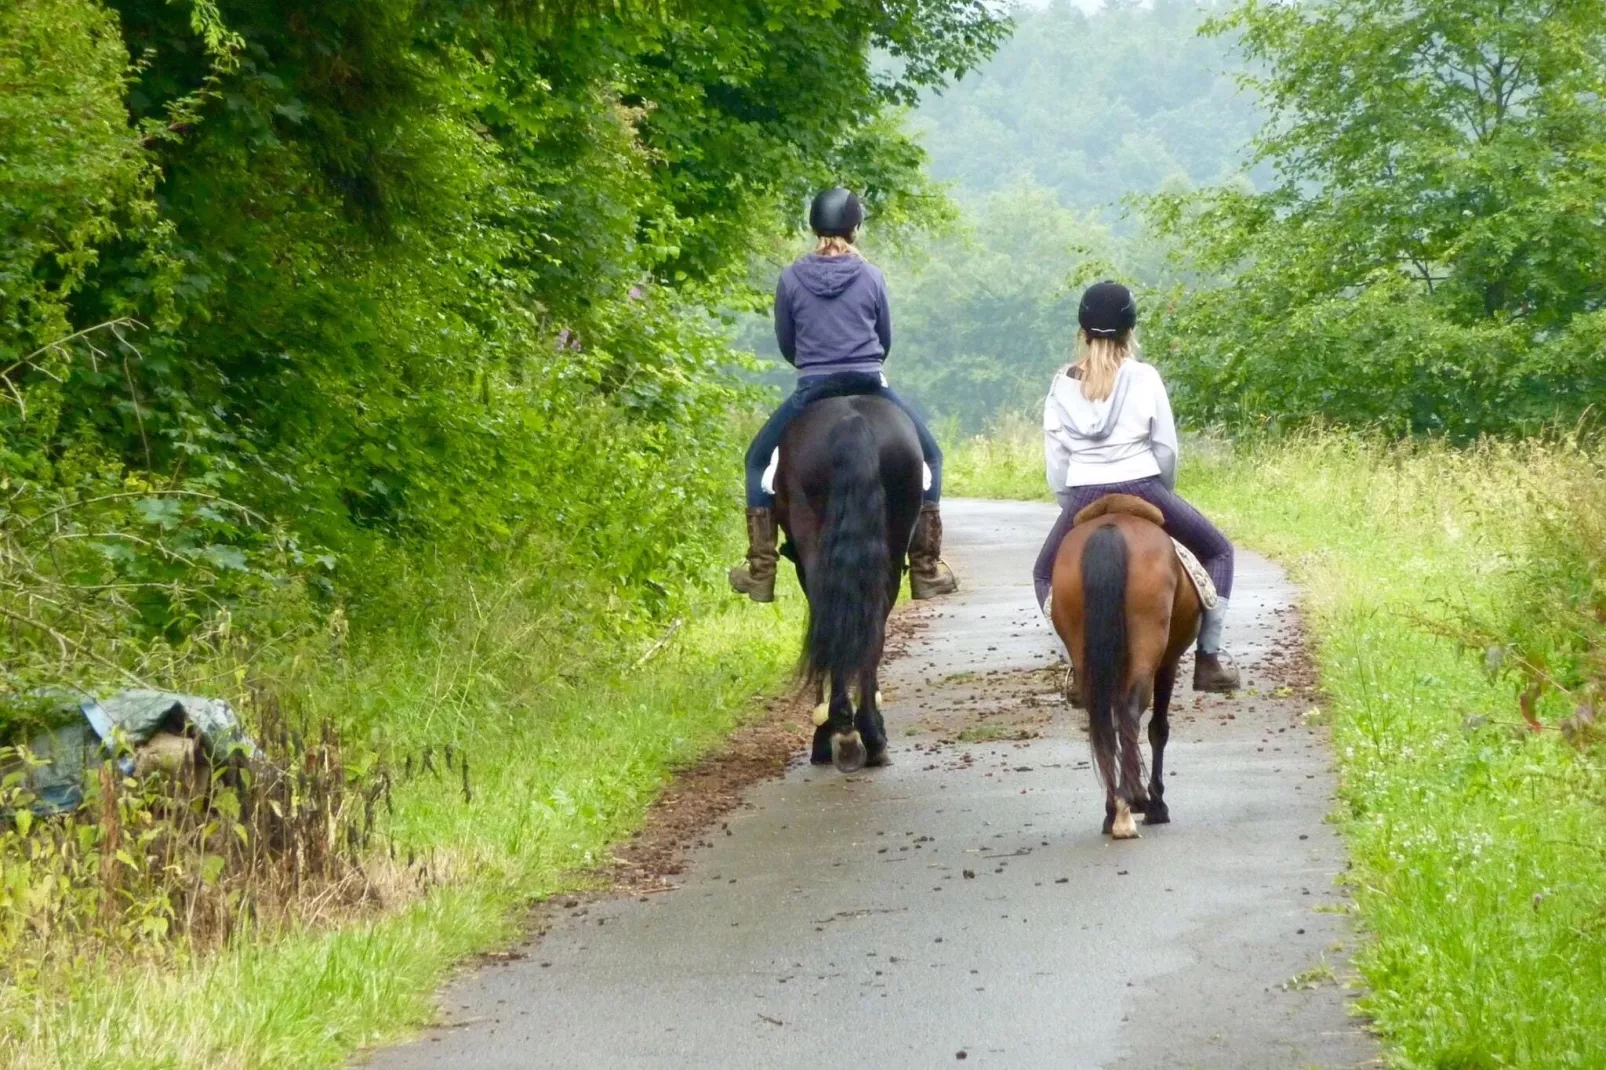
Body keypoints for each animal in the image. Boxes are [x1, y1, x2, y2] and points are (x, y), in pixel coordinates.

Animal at [1047, 488, 1201, 835]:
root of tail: (1110, 528)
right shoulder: (1169, 661)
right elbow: (1158, 729)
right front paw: (1157, 804)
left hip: (1085, 649)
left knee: (1101, 717)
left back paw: (1112, 810)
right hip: (1148, 644)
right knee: (1132, 711)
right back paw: (1135, 801)